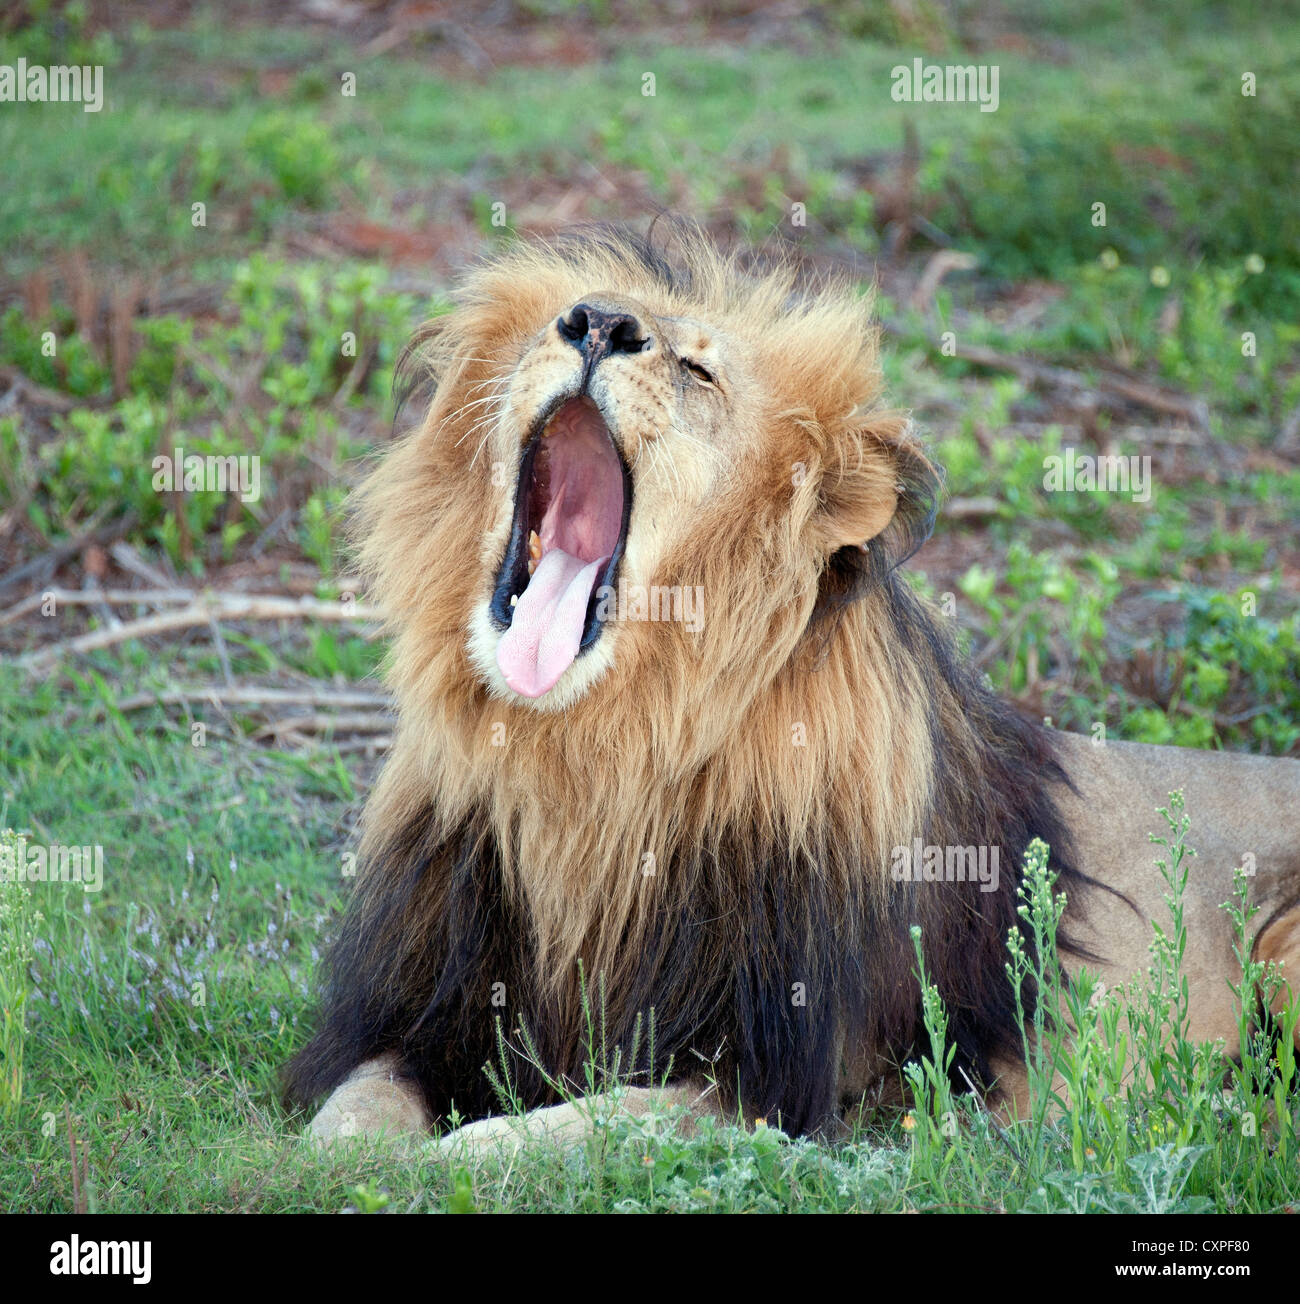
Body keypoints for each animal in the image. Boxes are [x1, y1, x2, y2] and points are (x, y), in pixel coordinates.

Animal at [284, 224, 1298, 1152]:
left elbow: (575, 1128)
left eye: (699, 372)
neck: (589, 766)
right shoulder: (420, 1017)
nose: (597, 323)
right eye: (557, 319)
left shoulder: (778, 1087)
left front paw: (462, 1155)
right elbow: (353, 1114)